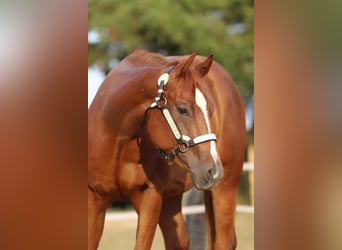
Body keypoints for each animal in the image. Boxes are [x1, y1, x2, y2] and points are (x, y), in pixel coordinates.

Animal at [87, 49, 244, 250]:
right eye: (183, 109)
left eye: (211, 109)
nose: (213, 170)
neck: (117, 140)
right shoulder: (94, 201)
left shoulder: (150, 199)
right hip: (171, 199)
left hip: (226, 187)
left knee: (223, 241)